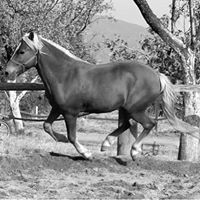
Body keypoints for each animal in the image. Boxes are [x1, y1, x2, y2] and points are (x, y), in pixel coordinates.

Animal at [3, 30, 199, 159]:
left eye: (21, 51)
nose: (6, 72)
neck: (64, 75)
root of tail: (157, 75)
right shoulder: (57, 109)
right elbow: (46, 126)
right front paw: (62, 139)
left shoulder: (70, 113)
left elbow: (72, 136)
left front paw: (86, 153)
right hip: (126, 109)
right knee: (127, 124)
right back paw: (106, 144)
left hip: (135, 109)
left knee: (148, 124)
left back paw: (134, 151)